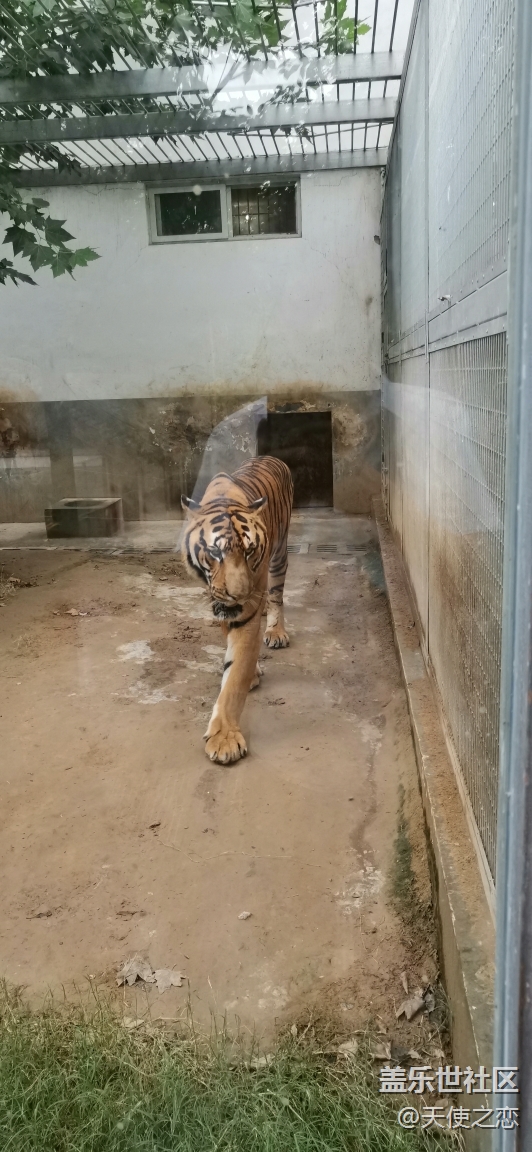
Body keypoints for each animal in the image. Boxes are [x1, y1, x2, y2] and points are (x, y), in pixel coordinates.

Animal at [181, 456, 294, 765]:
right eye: (215, 552)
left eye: (250, 550)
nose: (240, 595)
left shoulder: (248, 610)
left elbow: (234, 677)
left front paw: (224, 739)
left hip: (279, 556)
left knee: (276, 596)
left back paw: (276, 631)